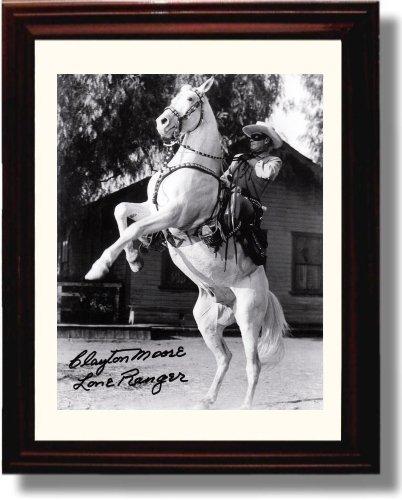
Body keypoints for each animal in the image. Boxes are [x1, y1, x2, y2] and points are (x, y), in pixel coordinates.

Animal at [85, 76, 288, 408]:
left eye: (192, 99)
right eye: (174, 97)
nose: (162, 122)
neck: (191, 166)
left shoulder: (173, 214)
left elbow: (133, 228)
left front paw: (99, 267)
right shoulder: (154, 208)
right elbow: (123, 211)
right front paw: (134, 259)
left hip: (247, 318)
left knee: (252, 364)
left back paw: (245, 405)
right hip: (206, 321)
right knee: (225, 357)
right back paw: (207, 399)